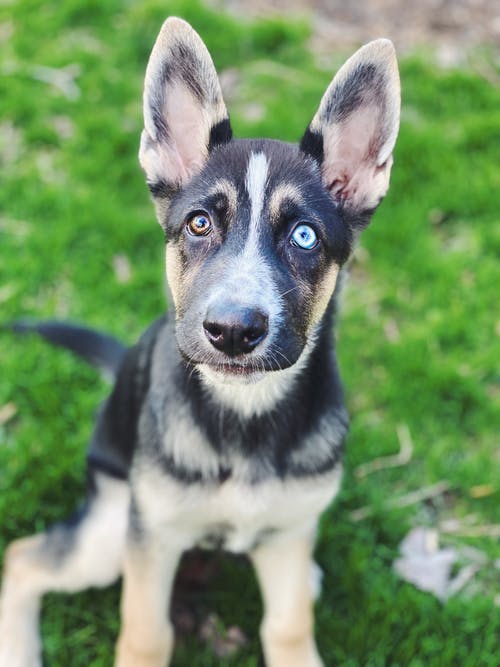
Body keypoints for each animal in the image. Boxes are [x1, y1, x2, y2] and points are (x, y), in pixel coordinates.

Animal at [0, 15, 398, 667]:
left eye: (306, 236)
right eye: (200, 223)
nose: (233, 330)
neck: (244, 416)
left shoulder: (289, 534)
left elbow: (288, 626)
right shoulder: (152, 535)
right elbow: (145, 631)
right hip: (110, 531)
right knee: (23, 559)